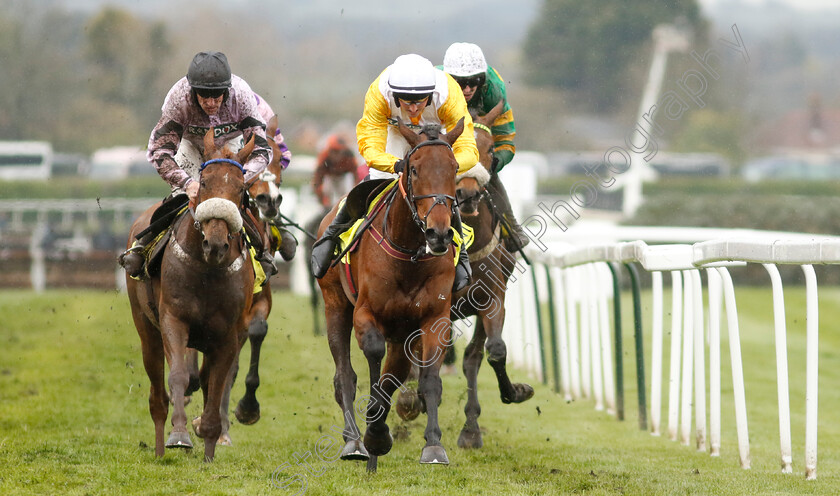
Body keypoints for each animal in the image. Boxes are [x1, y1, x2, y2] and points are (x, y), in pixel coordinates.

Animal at [126, 128, 258, 462]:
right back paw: (161, 447)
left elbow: (218, 383)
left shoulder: (229, 335)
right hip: (146, 330)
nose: (216, 244)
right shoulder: (174, 320)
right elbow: (178, 377)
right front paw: (180, 435)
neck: (207, 269)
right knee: (157, 395)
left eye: (241, 189)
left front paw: (209, 443)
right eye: (205, 182)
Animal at [318, 117, 466, 472]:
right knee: (344, 375)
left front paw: (433, 445)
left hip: (402, 334)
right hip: (334, 305)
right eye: (414, 169)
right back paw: (355, 441)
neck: (408, 253)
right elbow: (372, 361)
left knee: (392, 375)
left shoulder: (433, 319)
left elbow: (425, 379)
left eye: (454, 167)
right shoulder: (365, 313)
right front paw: (373, 435)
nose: (439, 233)